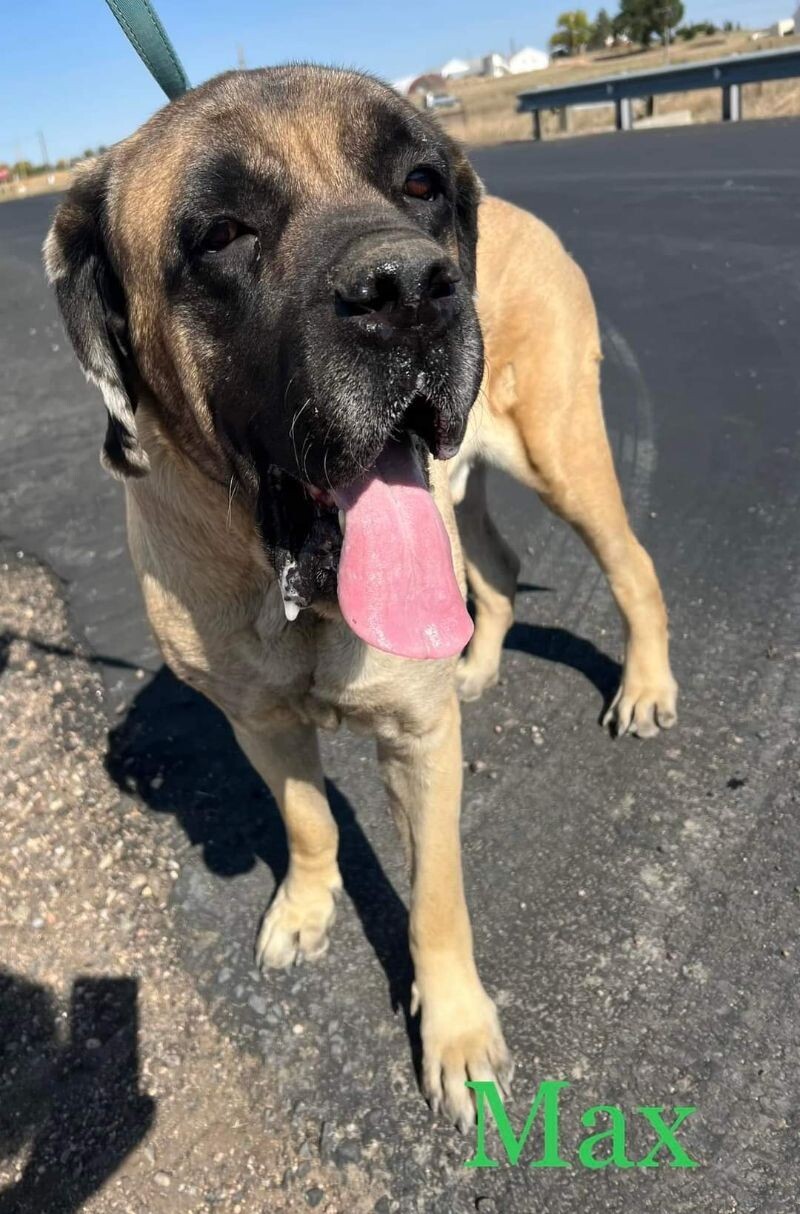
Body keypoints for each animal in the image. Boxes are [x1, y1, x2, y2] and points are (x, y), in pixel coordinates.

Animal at [45, 64, 674, 1126]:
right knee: (495, 571)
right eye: (220, 232)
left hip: (561, 452)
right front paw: (304, 908)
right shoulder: (256, 721)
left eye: (420, 182)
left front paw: (454, 1034)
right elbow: (305, 819)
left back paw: (646, 686)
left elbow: (436, 897)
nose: (410, 289)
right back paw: (478, 664)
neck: (287, 584)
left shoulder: (418, 744)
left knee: (633, 567)